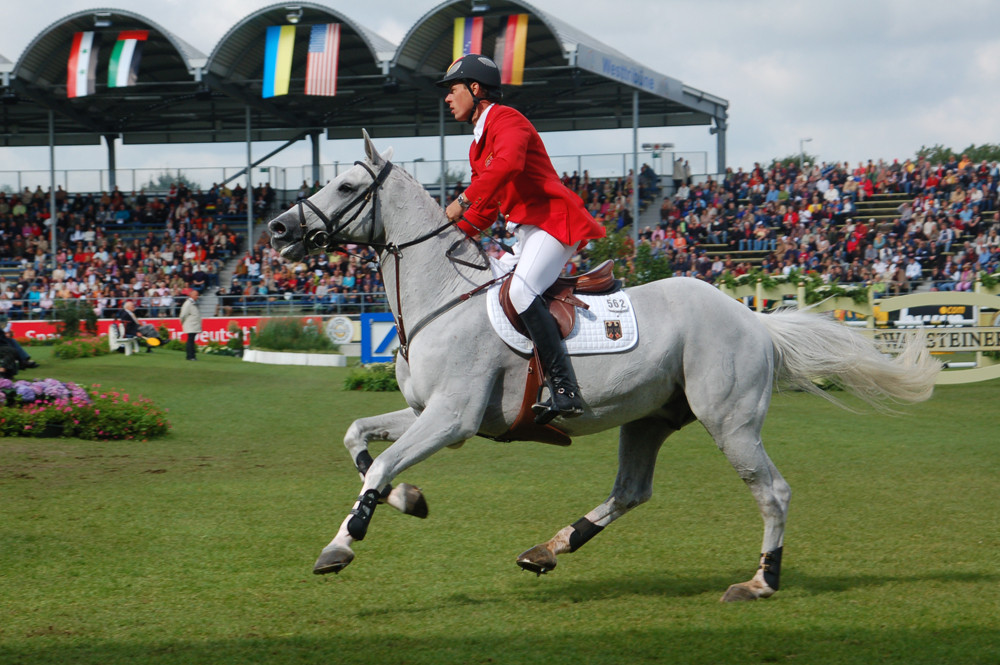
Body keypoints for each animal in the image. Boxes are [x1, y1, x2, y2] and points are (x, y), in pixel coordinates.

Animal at [266, 132, 936, 600]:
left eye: (345, 188)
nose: (276, 229)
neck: (443, 299)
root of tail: (752, 318)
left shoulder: (452, 419)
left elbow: (379, 464)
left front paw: (341, 545)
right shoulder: (425, 412)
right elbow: (359, 440)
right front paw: (407, 499)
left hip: (731, 422)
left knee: (772, 491)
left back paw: (761, 581)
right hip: (650, 417)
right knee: (631, 490)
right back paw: (550, 547)